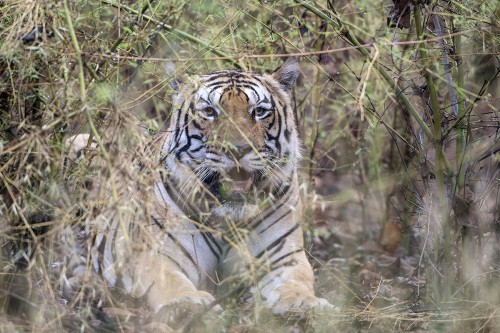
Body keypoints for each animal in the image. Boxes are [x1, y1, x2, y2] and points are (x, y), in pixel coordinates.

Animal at [65, 57, 332, 322]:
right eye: (210, 112)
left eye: (259, 111)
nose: (238, 148)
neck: (227, 219)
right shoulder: (161, 254)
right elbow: (171, 282)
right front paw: (188, 303)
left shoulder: (283, 257)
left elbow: (297, 280)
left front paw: (304, 303)